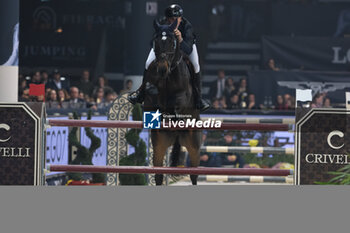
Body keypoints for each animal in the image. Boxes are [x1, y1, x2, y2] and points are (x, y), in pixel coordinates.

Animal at [143, 19, 202, 185]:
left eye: (173, 43)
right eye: (156, 41)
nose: (162, 69)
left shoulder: (183, 99)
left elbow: (176, 103)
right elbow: (150, 91)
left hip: (193, 146)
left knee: (194, 175)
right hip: (159, 145)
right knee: (158, 174)